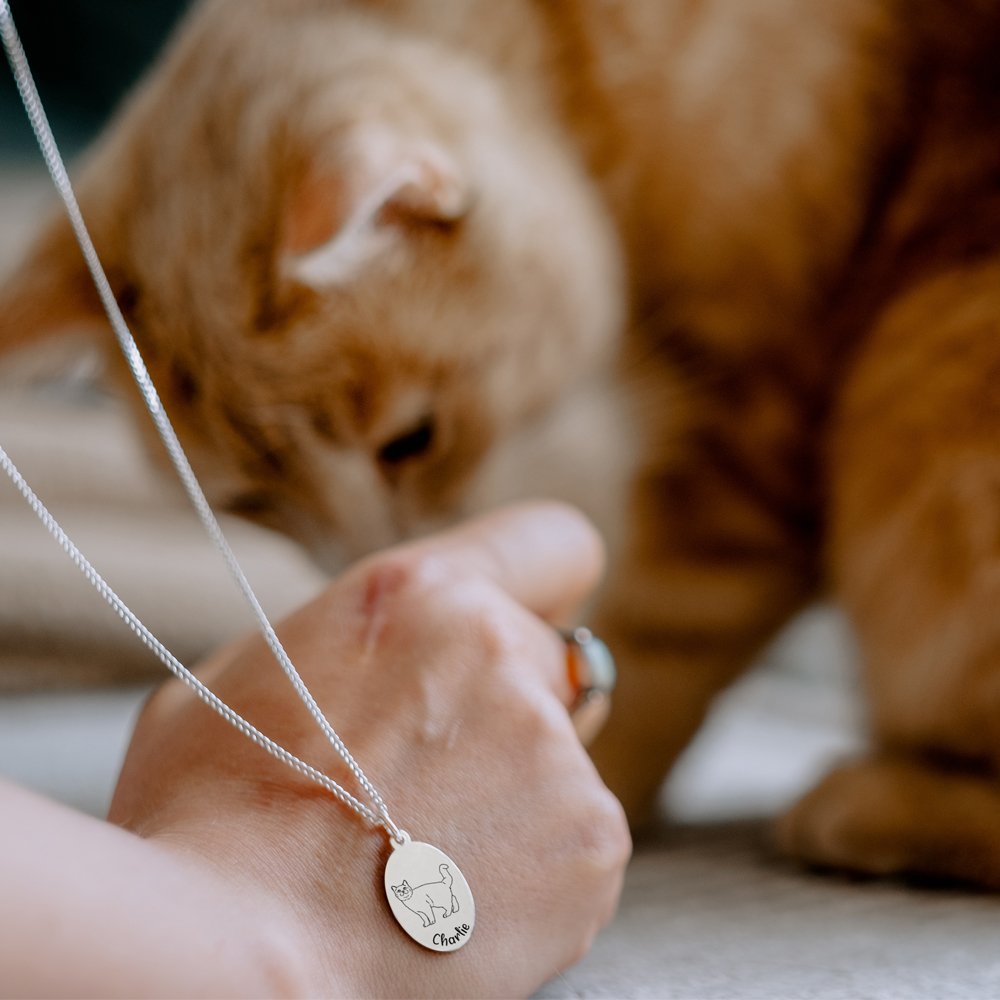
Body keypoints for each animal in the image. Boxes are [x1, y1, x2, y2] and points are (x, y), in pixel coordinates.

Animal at [5, 0, 1000, 892]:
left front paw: (604, 777)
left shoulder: (752, 425)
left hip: (922, 382)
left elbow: (660, 646)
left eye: (410, 442)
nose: (372, 557)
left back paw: (864, 805)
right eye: (251, 504)